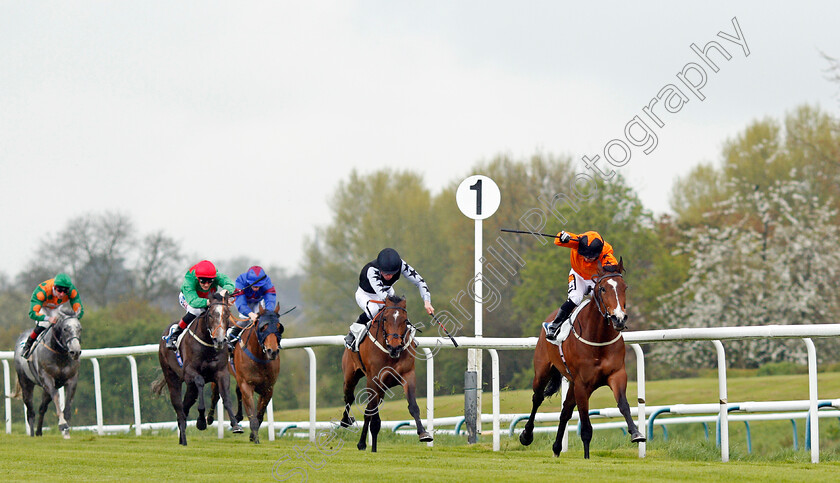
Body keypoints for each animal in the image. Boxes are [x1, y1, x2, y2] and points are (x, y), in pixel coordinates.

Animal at [13, 306, 82, 438]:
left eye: (80, 329)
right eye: (65, 329)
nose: (75, 351)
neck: (59, 354)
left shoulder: (72, 379)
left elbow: (67, 405)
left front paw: (67, 430)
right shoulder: (47, 378)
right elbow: (56, 397)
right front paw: (62, 424)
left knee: (42, 408)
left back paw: (39, 432)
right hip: (26, 382)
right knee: (30, 411)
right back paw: (32, 434)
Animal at [151, 292, 241, 446]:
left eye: (227, 314)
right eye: (210, 315)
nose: (219, 340)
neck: (208, 346)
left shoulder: (222, 373)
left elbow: (226, 397)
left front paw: (235, 425)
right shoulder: (190, 373)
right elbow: (199, 382)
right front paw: (201, 422)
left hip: (189, 387)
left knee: (185, 407)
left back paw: (182, 438)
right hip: (172, 377)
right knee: (179, 408)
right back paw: (184, 439)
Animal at [208, 304, 284, 444]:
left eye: (278, 327)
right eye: (263, 327)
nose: (272, 351)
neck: (259, 357)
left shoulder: (268, 389)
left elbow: (259, 415)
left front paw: (252, 436)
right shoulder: (247, 385)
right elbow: (252, 415)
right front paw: (256, 439)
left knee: (237, 391)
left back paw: (237, 416)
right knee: (215, 395)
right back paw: (209, 418)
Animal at [338, 294, 434, 454]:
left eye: (405, 320)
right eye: (385, 319)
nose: (394, 345)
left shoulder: (408, 375)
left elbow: (413, 406)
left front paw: (423, 433)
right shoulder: (374, 379)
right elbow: (374, 416)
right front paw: (371, 445)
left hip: (381, 389)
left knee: (367, 410)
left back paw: (363, 443)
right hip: (350, 376)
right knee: (350, 397)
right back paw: (347, 422)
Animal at [520, 258, 644, 458]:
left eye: (624, 287)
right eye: (603, 289)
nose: (619, 319)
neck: (598, 337)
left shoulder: (616, 374)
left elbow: (623, 405)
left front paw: (636, 433)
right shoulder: (583, 384)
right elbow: (586, 426)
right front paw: (586, 458)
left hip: (571, 382)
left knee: (565, 411)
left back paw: (556, 448)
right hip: (543, 371)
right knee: (537, 398)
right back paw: (526, 435)